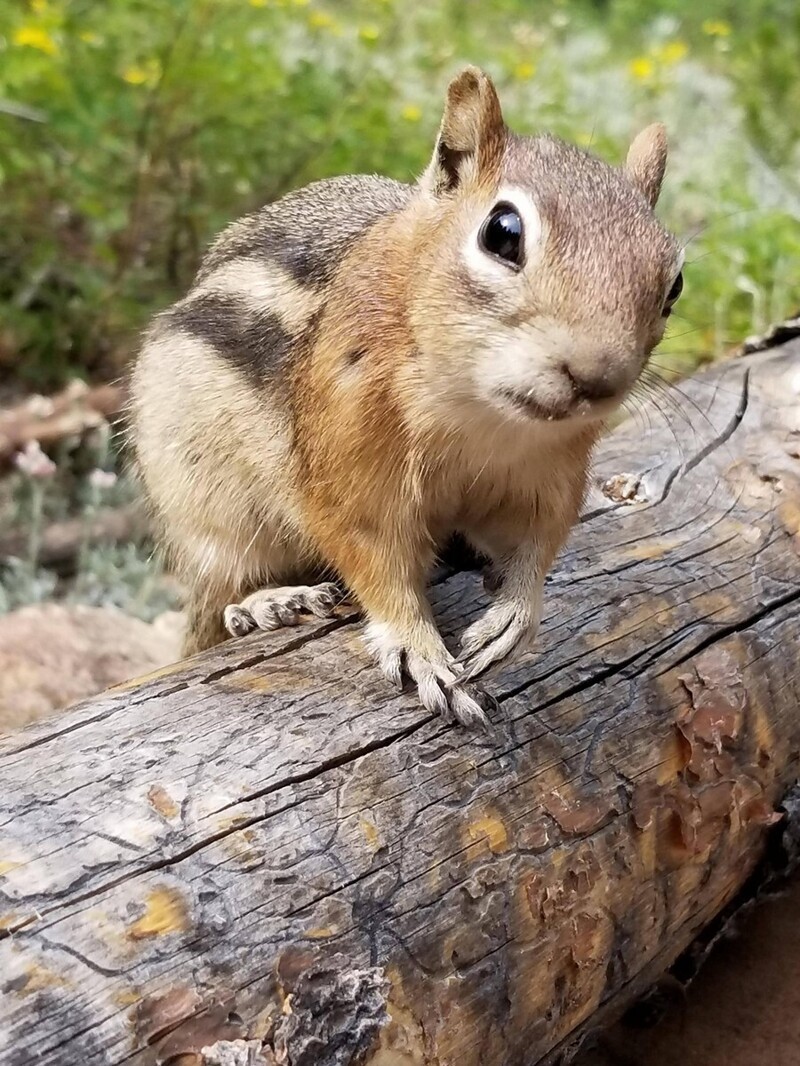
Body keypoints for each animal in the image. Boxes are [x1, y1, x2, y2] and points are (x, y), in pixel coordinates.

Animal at [130, 66, 682, 729]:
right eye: (502, 232)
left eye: (675, 283)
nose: (598, 378)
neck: (481, 419)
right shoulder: (351, 473)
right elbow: (377, 562)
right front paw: (420, 650)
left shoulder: (551, 477)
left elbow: (540, 543)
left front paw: (514, 616)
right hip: (209, 508)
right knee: (218, 595)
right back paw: (271, 602)